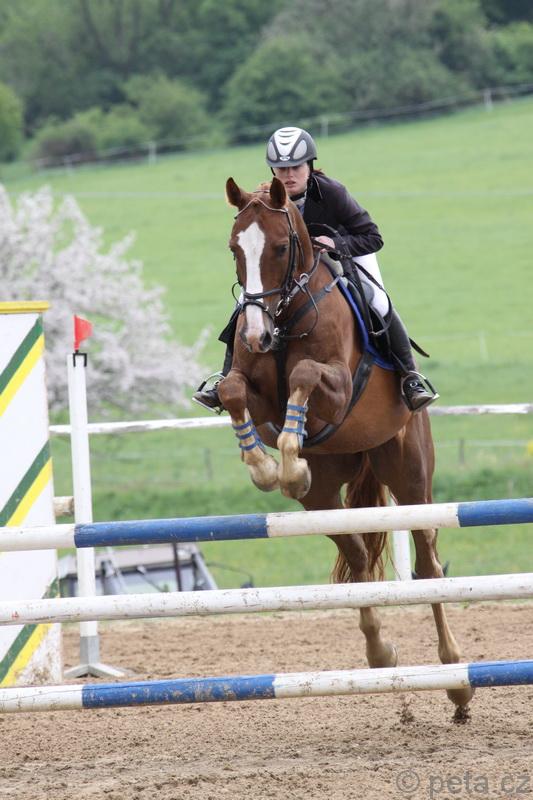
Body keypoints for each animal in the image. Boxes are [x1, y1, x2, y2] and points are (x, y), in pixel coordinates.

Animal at [218, 176, 473, 717]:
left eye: (280, 247)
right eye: (234, 249)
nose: (255, 333)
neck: (285, 315)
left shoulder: (335, 386)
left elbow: (303, 373)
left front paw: (285, 462)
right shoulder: (252, 390)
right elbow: (232, 391)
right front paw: (268, 468)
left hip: (410, 475)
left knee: (428, 564)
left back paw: (457, 679)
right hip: (325, 496)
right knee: (355, 554)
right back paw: (381, 653)